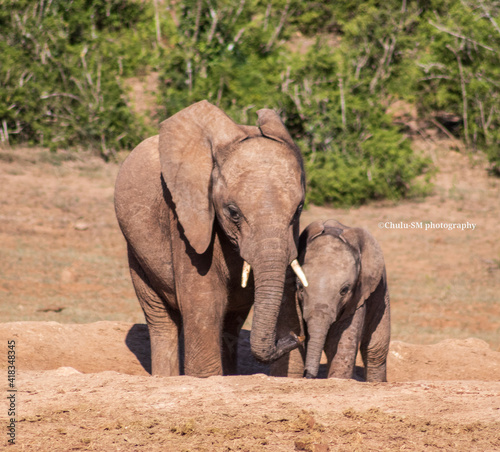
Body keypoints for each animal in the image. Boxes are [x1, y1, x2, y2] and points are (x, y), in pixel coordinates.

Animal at [114, 100, 306, 376]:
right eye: (233, 212)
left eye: (299, 208)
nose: (293, 339)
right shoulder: (185, 216)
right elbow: (205, 304)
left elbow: (287, 296)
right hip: (135, 250)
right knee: (160, 318)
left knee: (231, 321)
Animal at [296, 219, 390, 382]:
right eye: (300, 287)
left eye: (344, 290)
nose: (308, 376)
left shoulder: (358, 295)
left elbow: (340, 341)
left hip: (382, 294)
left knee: (375, 350)